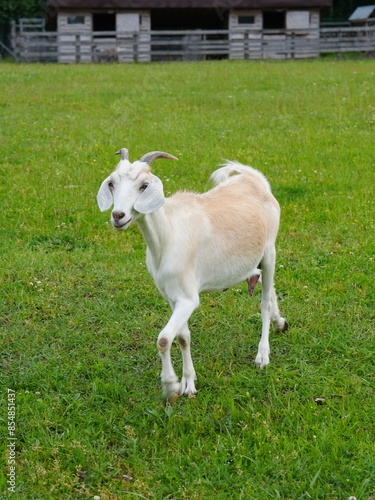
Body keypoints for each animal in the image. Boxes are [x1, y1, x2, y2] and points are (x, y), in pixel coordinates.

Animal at [97, 148, 288, 402]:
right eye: (111, 183)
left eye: (144, 185)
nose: (118, 215)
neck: (167, 234)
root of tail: (254, 179)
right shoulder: (173, 297)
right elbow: (182, 337)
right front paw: (188, 382)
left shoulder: (188, 298)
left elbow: (164, 339)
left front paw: (170, 387)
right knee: (270, 289)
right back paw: (280, 322)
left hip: (269, 250)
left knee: (265, 301)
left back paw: (263, 355)